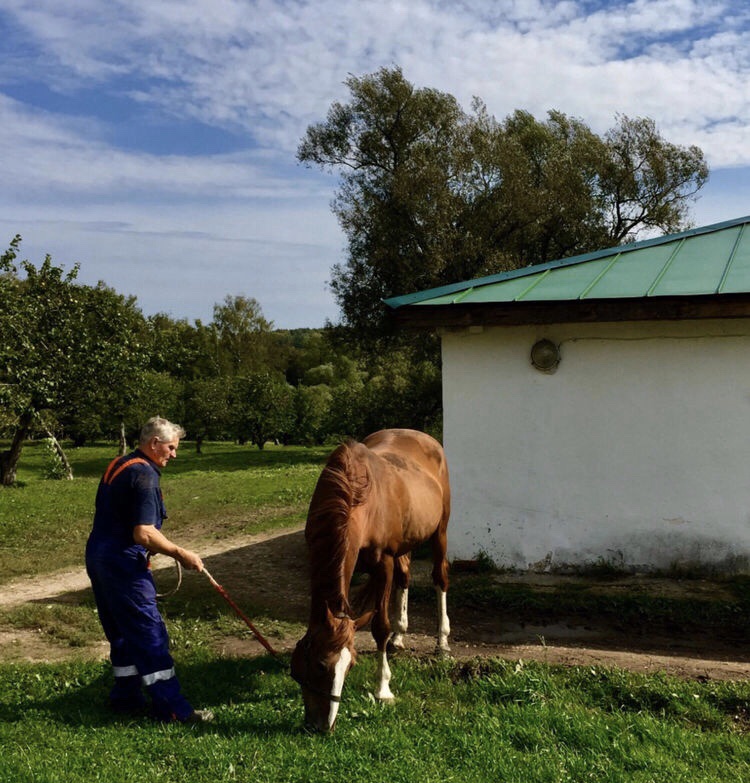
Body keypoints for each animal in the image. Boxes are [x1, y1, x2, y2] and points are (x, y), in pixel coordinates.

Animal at [290, 426, 450, 732]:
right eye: (319, 665)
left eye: (350, 666)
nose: (322, 726)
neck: (355, 500)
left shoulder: (383, 563)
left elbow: (379, 626)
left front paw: (383, 689)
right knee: (405, 577)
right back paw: (399, 636)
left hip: (440, 532)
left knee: (440, 579)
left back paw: (442, 641)